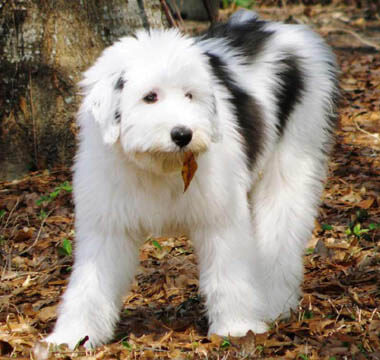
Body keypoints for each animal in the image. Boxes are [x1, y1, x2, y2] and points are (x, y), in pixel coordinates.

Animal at [43, 10, 340, 348]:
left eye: (189, 95)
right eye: (149, 97)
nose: (183, 134)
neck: (161, 167)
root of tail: (279, 27)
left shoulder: (220, 215)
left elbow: (229, 272)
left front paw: (236, 328)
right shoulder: (107, 224)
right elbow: (90, 282)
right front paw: (73, 335)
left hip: (296, 152)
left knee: (281, 232)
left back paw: (273, 302)